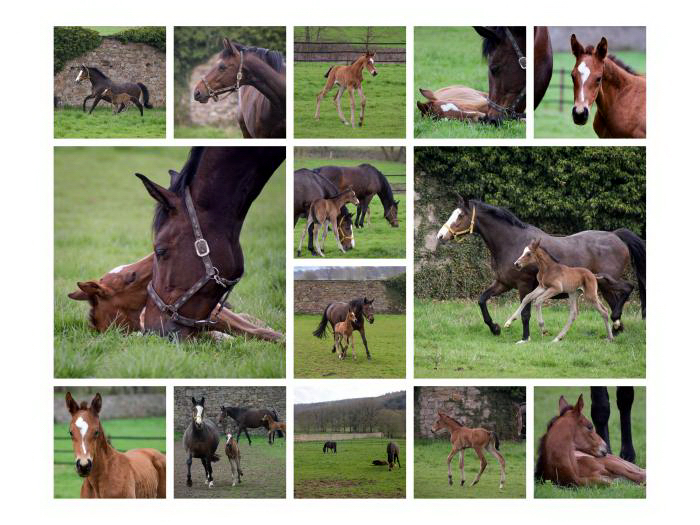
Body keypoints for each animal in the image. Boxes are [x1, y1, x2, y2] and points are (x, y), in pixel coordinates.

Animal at [438, 199, 644, 342]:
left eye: (460, 216)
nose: (440, 236)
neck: (511, 242)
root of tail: (616, 236)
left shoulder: (524, 285)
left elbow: (525, 312)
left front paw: (525, 337)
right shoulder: (503, 283)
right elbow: (482, 300)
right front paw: (495, 328)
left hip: (607, 282)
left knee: (627, 288)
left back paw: (615, 323)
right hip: (602, 286)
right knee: (614, 303)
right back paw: (616, 329)